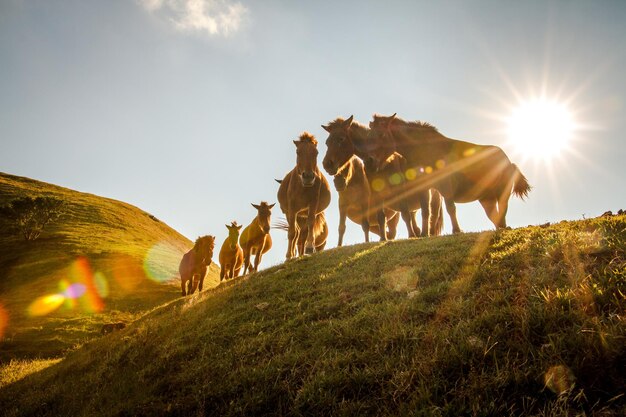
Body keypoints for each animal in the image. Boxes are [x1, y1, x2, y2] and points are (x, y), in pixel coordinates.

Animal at [368, 113, 528, 231]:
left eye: (382, 135)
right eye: (370, 134)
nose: (370, 161)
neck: (425, 150)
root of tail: (509, 162)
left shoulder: (446, 185)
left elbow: (450, 208)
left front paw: (456, 230)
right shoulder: (424, 188)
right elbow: (425, 212)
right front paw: (425, 234)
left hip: (502, 193)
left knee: (502, 212)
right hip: (486, 199)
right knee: (494, 217)